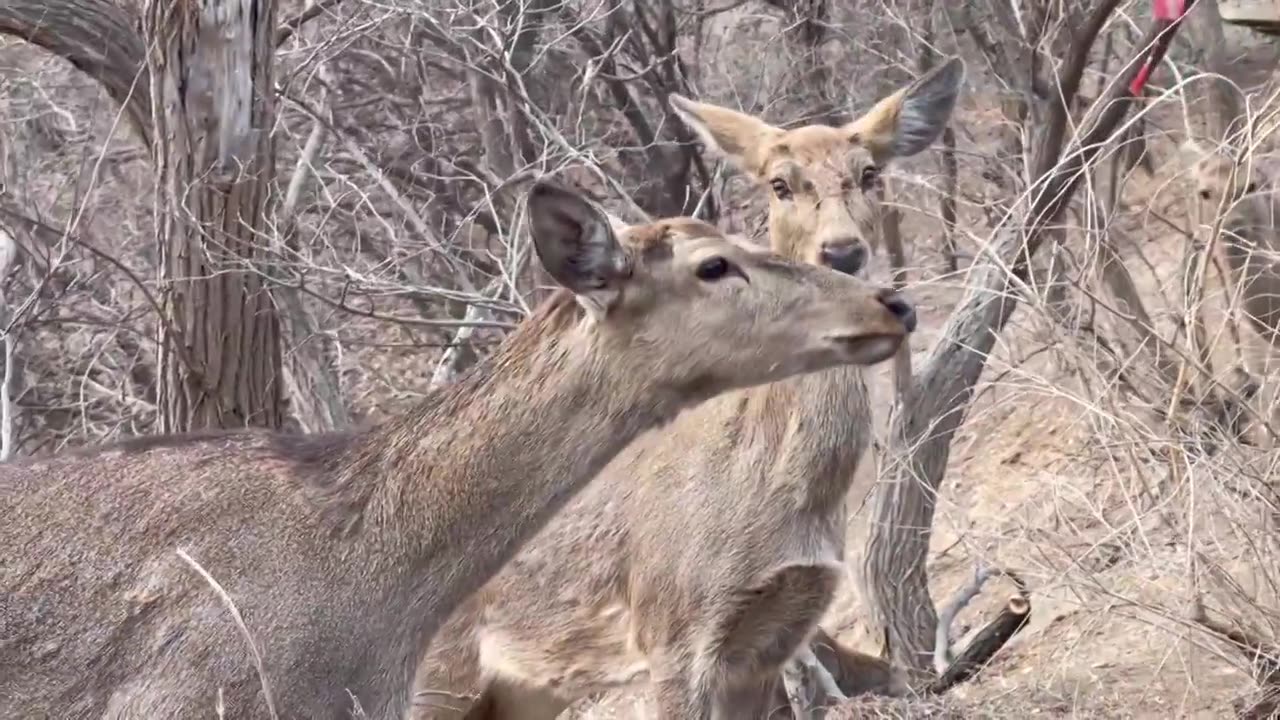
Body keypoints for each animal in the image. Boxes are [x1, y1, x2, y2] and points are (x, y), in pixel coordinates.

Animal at [409, 57, 962, 717]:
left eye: (870, 172)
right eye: (779, 183)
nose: (842, 249)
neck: (775, 484)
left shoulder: (770, 639)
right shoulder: (673, 632)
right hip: (437, 677)